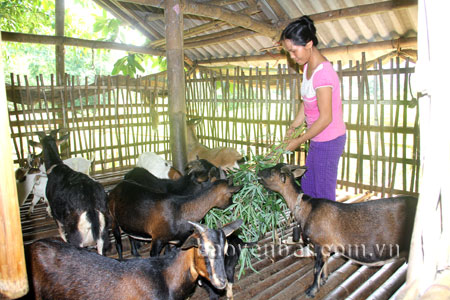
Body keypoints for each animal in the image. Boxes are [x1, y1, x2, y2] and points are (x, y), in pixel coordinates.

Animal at [256, 164, 418, 298]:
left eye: (272, 172)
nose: (258, 172)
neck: (307, 208)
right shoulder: (326, 247)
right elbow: (324, 265)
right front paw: (324, 279)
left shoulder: (321, 243)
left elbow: (316, 268)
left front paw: (311, 291)